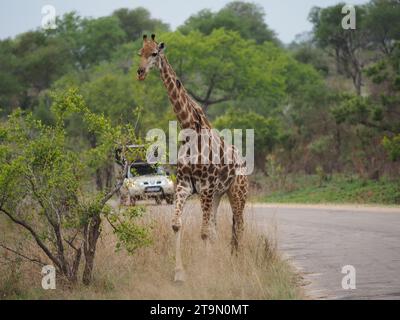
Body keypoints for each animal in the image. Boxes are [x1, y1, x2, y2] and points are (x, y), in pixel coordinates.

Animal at [138, 33, 250, 282]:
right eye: (139, 52)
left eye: (154, 53)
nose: (140, 72)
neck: (190, 128)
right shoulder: (184, 186)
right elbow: (177, 225)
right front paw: (180, 273)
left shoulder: (205, 187)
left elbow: (204, 231)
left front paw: (206, 271)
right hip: (218, 194)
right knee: (219, 228)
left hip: (237, 192)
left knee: (239, 225)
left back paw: (238, 264)